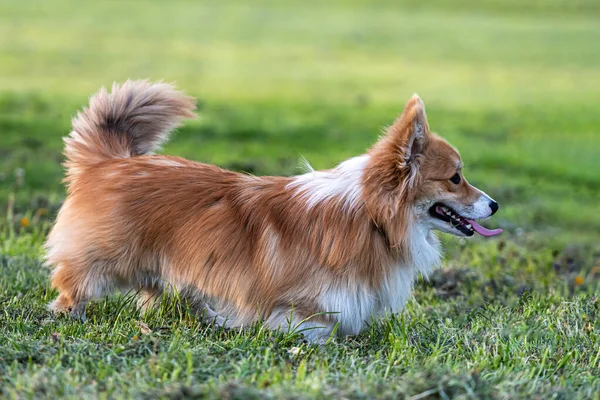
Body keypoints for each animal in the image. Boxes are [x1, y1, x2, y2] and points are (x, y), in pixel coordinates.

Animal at [44, 79, 500, 342]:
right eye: (456, 177)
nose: (495, 204)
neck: (373, 219)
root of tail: (112, 161)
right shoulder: (305, 307)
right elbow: (312, 330)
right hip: (104, 261)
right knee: (73, 282)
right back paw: (68, 313)